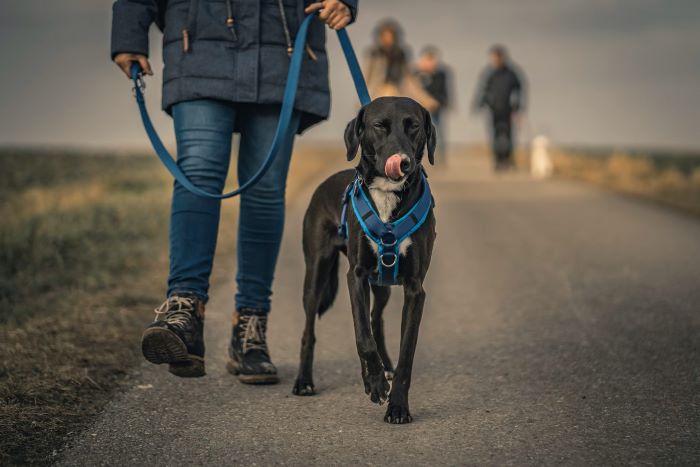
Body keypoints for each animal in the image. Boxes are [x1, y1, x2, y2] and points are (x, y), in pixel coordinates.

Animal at [292, 97, 434, 426]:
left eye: (414, 126)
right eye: (379, 126)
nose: (403, 161)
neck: (388, 195)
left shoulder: (414, 288)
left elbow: (405, 351)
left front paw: (397, 406)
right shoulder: (355, 276)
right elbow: (361, 337)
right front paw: (376, 384)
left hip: (381, 285)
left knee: (375, 319)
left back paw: (381, 370)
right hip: (316, 276)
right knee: (310, 330)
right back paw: (305, 381)